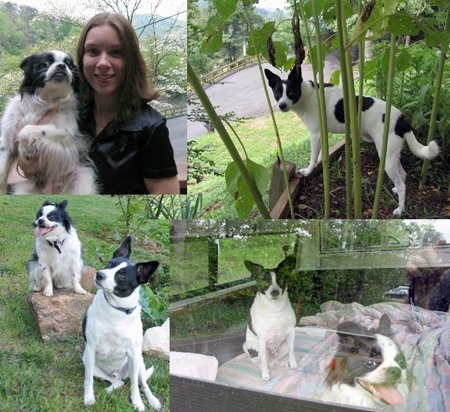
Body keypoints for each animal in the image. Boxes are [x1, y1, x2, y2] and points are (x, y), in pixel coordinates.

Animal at [0, 50, 97, 195]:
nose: (62, 65)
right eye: (45, 64)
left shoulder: (67, 131)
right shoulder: (7, 142)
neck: (47, 100)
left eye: (69, 64)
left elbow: (27, 129)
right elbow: (2, 172)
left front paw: (25, 149)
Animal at [82, 237, 162, 410]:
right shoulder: (91, 349)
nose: (99, 274)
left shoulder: (133, 353)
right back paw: (109, 389)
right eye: (109, 264)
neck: (117, 310)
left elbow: (135, 386)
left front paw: (137, 402)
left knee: (141, 383)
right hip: (87, 360)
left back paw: (153, 400)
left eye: (122, 276)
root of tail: (118, 373)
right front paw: (88, 397)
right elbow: (88, 379)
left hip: (139, 363)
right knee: (118, 382)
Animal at [264, 67, 440, 216]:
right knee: (402, 175)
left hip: (386, 156)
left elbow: (313, 157)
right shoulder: (322, 134)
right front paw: (321, 160)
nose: (281, 105)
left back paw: (400, 209)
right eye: (277, 93)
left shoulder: (315, 134)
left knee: (402, 184)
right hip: (392, 154)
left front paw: (307, 171)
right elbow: (320, 153)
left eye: (291, 92)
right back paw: (396, 190)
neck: (308, 95)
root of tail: (400, 120)